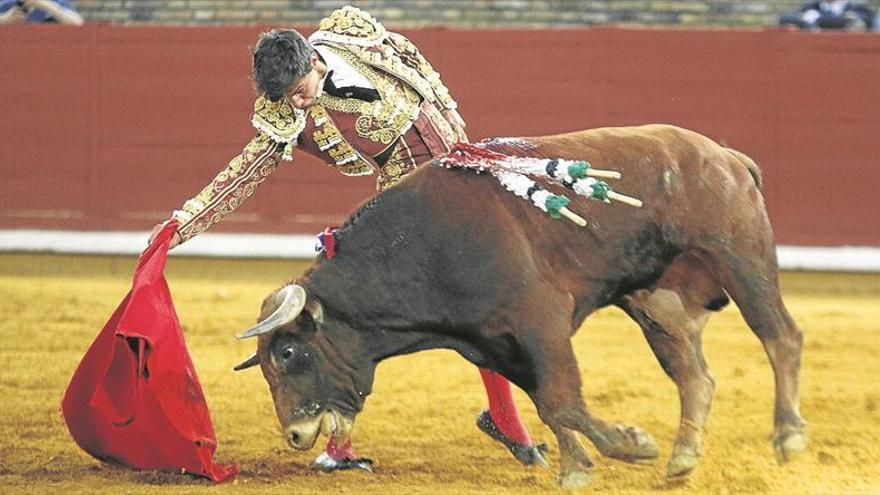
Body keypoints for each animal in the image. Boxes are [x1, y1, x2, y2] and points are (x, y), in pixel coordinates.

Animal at [232, 124, 804, 488]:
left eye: (288, 354)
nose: (294, 434)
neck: (418, 248)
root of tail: (725, 155)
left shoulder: (541, 320)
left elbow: (563, 398)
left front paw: (630, 443)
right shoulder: (493, 343)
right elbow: (547, 403)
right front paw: (577, 468)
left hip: (741, 256)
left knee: (780, 336)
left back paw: (789, 437)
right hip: (658, 301)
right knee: (694, 375)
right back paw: (683, 459)